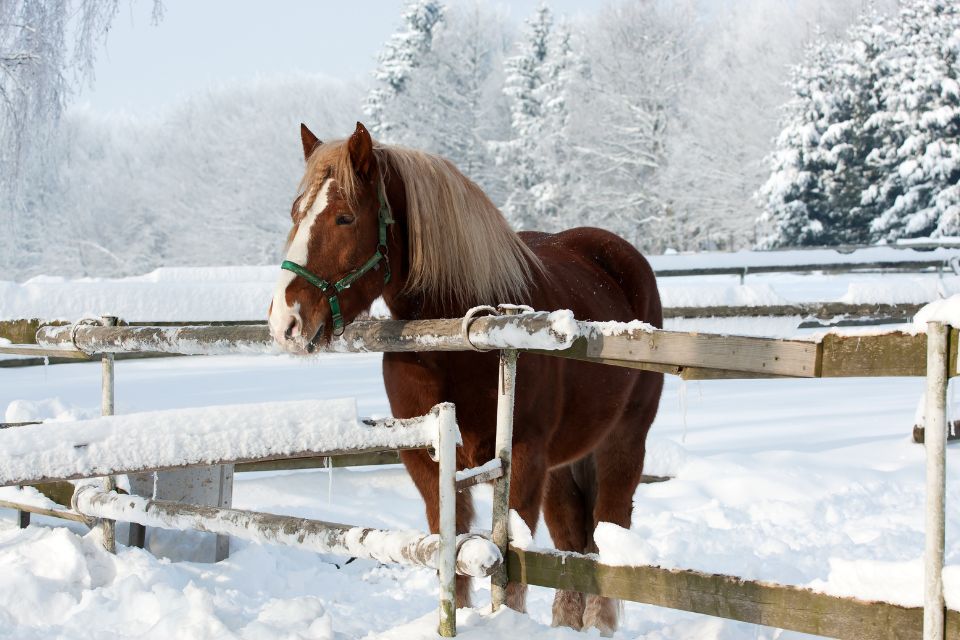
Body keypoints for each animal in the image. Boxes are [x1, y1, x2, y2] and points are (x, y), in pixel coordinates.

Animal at [268, 122, 663, 634]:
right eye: (296, 212)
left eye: (344, 218)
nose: (285, 322)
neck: (454, 339)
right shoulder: (427, 460)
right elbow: (449, 559)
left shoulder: (521, 460)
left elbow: (510, 572)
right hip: (561, 463)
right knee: (572, 539)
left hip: (622, 441)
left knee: (607, 531)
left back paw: (599, 624)